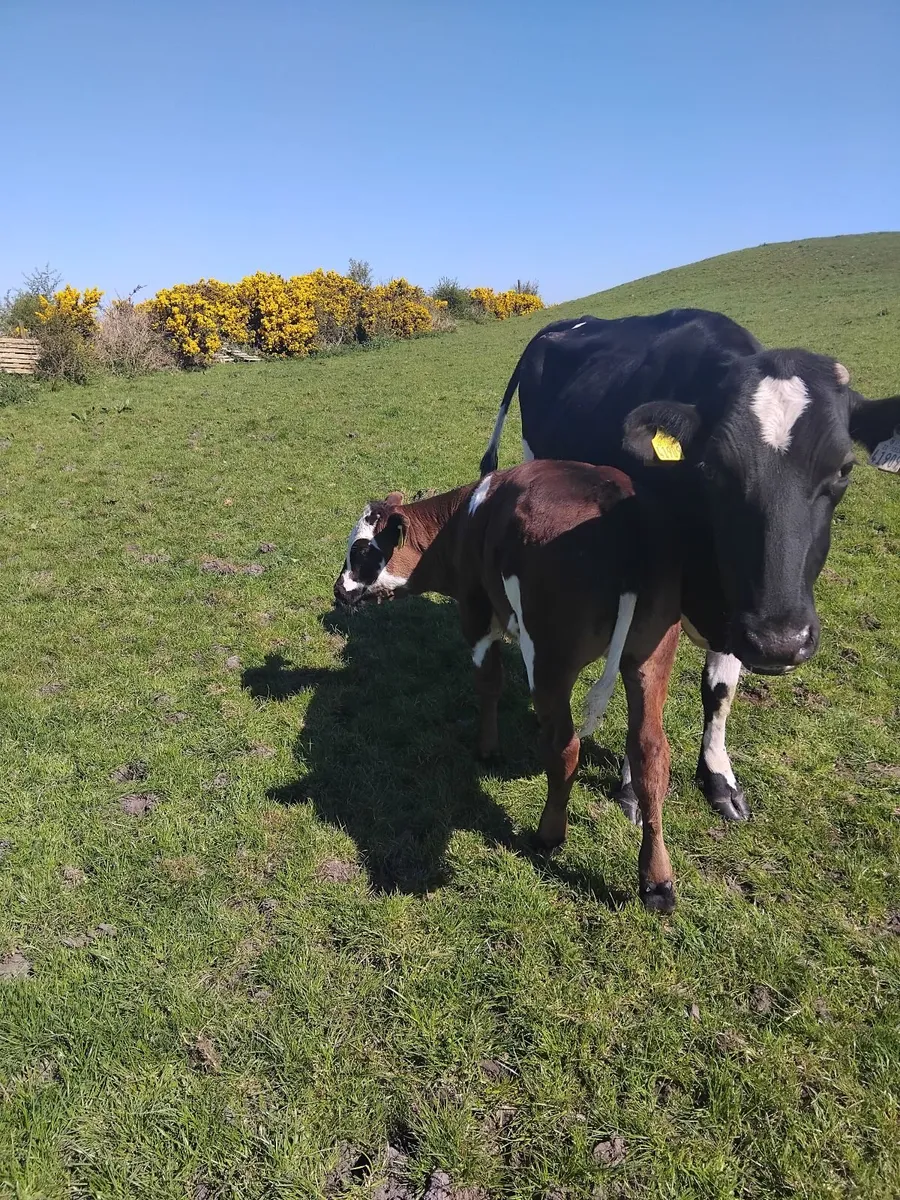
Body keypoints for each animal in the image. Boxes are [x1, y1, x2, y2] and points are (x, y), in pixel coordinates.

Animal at [333, 460, 696, 912]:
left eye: (363, 550)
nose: (338, 590)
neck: (461, 522)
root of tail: (622, 509)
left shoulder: (475, 612)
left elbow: (488, 682)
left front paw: (487, 748)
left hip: (548, 657)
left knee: (564, 744)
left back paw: (549, 834)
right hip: (651, 656)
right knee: (650, 750)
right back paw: (657, 881)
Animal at [478, 309, 900, 822]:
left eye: (844, 468)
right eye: (712, 467)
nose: (780, 642)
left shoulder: (738, 607)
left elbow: (718, 689)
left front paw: (718, 776)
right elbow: (642, 694)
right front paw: (631, 788)